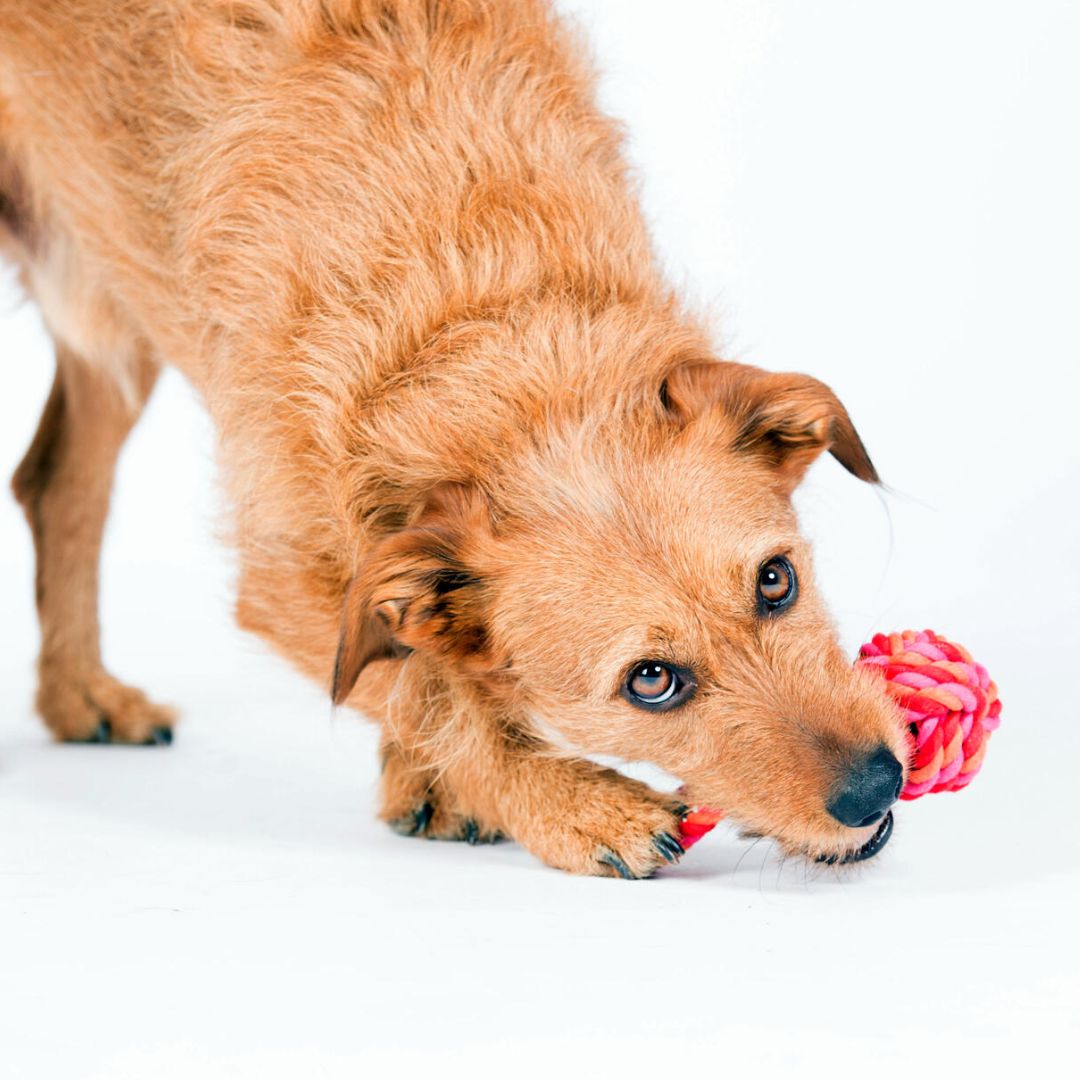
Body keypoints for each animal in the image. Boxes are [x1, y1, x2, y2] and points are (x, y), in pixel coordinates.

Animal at [4, 0, 907, 876]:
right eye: (650, 681)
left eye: (777, 581)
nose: (878, 783)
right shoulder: (285, 579)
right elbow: (424, 686)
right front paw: (572, 805)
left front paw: (433, 785)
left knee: (56, 479)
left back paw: (79, 695)